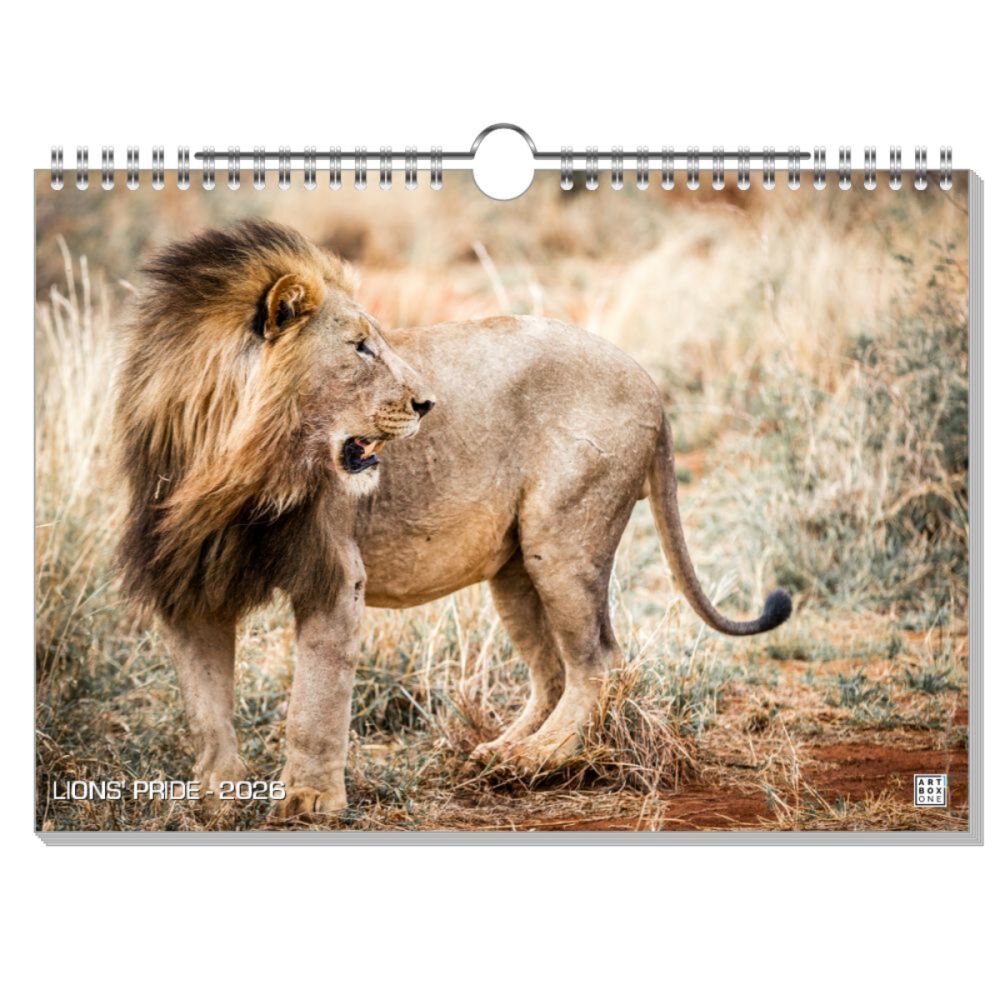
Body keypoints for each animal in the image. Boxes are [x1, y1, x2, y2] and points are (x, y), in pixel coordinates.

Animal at [115, 219, 791, 819]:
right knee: (552, 671)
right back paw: (501, 751)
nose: (425, 404)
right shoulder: (188, 582)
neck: (230, 465)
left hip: (562, 538)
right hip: (515, 568)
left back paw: (541, 759)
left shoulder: (334, 576)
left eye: (376, 340)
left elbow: (314, 703)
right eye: (360, 347)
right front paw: (215, 798)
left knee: (597, 662)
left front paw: (310, 800)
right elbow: (205, 711)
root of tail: (650, 381)